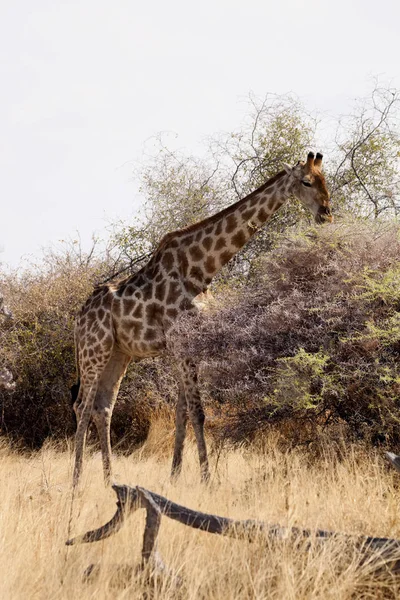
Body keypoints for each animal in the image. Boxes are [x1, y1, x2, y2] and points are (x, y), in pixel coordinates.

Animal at [71, 151, 332, 488]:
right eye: (306, 182)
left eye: (325, 180)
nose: (326, 214)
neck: (202, 270)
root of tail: (79, 318)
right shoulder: (179, 343)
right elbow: (198, 411)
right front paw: (207, 479)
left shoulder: (189, 343)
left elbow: (182, 412)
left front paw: (175, 476)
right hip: (94, 349)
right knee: (82, 405)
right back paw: (76, 481)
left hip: (119, 353)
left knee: (103, 406)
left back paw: (108, 480)